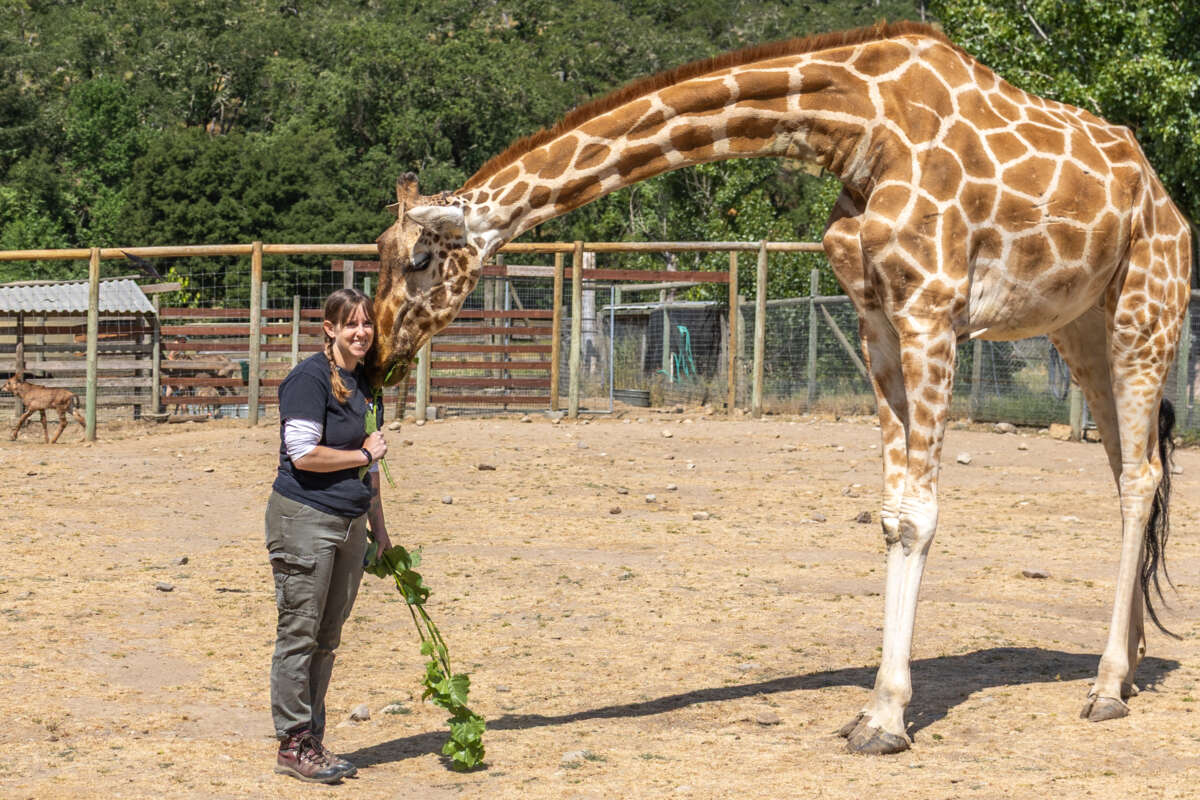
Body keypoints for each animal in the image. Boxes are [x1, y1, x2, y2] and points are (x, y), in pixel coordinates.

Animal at [370, 21, 1193, 754]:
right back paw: (1128, 667)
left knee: (1141, 476)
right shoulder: (875, 319)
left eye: (418, 257)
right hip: (1080, 327)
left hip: (1145, 313)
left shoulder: (930, 311)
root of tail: (1168, 205)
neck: (858, 124)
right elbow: (891, 514)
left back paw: (1106, 688)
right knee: (1127, 465)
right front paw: (872, 710)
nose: (377, 354)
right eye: (377, 250)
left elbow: (919, 516)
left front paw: (887, 719)